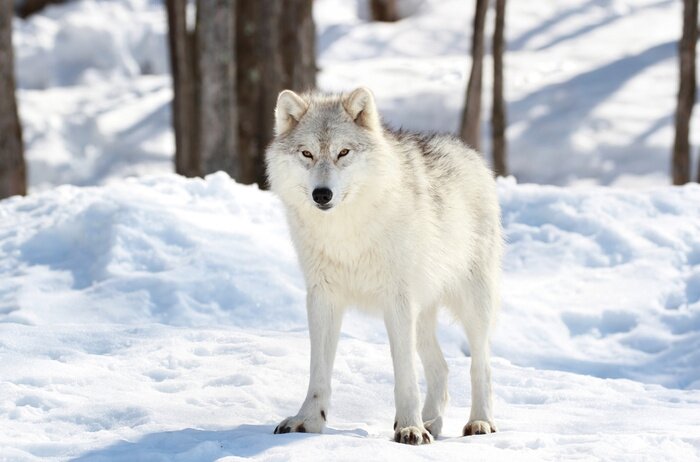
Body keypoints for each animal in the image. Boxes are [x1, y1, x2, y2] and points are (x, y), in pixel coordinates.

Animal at [265, 87, 502, 445]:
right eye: (307, 153)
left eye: (343, 152)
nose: (322, 194)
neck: (345, 233)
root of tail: (469, 153)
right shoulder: (322, 298)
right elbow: (318, 371)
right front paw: (307, 421)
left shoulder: (398, 301)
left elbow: (405, 375)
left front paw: (409, 428)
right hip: (423, 316)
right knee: (441, 368)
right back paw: (432, 422)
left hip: (471, 305)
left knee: (481, 365)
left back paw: (479, 423)